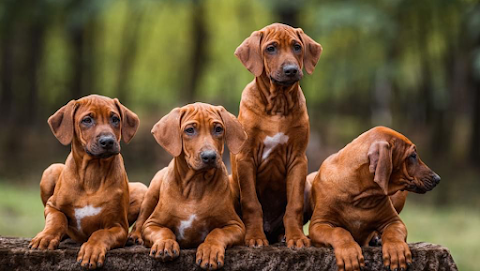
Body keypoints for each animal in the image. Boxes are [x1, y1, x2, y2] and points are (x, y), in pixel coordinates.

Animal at [29, 95, 146, 270]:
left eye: (115, 119)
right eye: (87, 120)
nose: (108, 141)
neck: (92, 174)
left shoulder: (118, 226)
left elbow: (100, 233)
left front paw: (92, 250)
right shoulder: (52, 206)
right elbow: (57, 219)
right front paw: (46, 237)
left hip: (141, 188)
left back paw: (134, 237)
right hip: (51, 171)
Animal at [128, 103, 248, 270]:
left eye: (218, 129)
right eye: (190, 130)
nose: (210, 156)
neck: (195, 185)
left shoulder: (236, 226)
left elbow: (217, 232)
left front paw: (210, 250)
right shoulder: (152, 224)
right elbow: (164, 230)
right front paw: (165, 243)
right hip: (152, 190)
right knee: (140, 220)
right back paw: (135, 237)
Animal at [232, 22, 322, 249]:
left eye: (297, 47)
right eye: (271, 48)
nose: (291, 70)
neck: (278, 105)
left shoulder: (298, 159)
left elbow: (294, 204)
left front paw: (296, 237)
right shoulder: (245, 158)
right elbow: (252, 203)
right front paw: (255, 237)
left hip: (307, 186)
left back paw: (284, 236)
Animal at [308, 127, 438, 271]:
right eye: (413, 156)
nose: (437, 179)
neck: (360, 194)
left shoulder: (394, 221)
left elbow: (393, 232)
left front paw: (396, 250)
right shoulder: (318, 224)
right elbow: (338, 231)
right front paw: (349, 253)